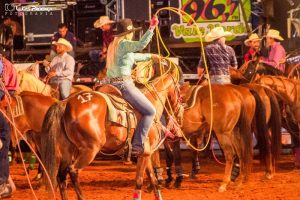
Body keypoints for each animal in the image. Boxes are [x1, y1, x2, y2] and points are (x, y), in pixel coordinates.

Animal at [40, 66, 183, 199]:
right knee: (73, 171)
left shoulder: (146, 154)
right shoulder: (145, 153)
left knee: (61, 175)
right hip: (90, 149)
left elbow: (153, 180)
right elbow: (139, 182)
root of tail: (66, 102)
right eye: (180, 91)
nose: (180, 112)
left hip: (68, 150)